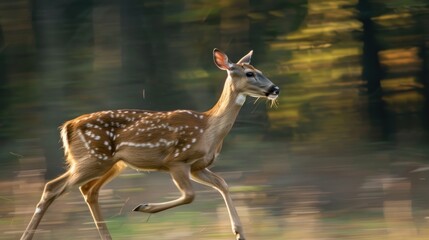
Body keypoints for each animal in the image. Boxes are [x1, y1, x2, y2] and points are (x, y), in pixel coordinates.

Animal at [21, 48, 280, 240]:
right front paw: (143, 207)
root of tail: (67, 126)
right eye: (249, 74)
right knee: (53, 187)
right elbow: (190, 196)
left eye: (259, 70)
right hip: (93, 158)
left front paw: (239, 233)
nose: (274, 88)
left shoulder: (197, 166)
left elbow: (223, 184)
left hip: (112, 163)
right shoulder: (176, 160)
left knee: (89, 190)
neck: (209, 128)